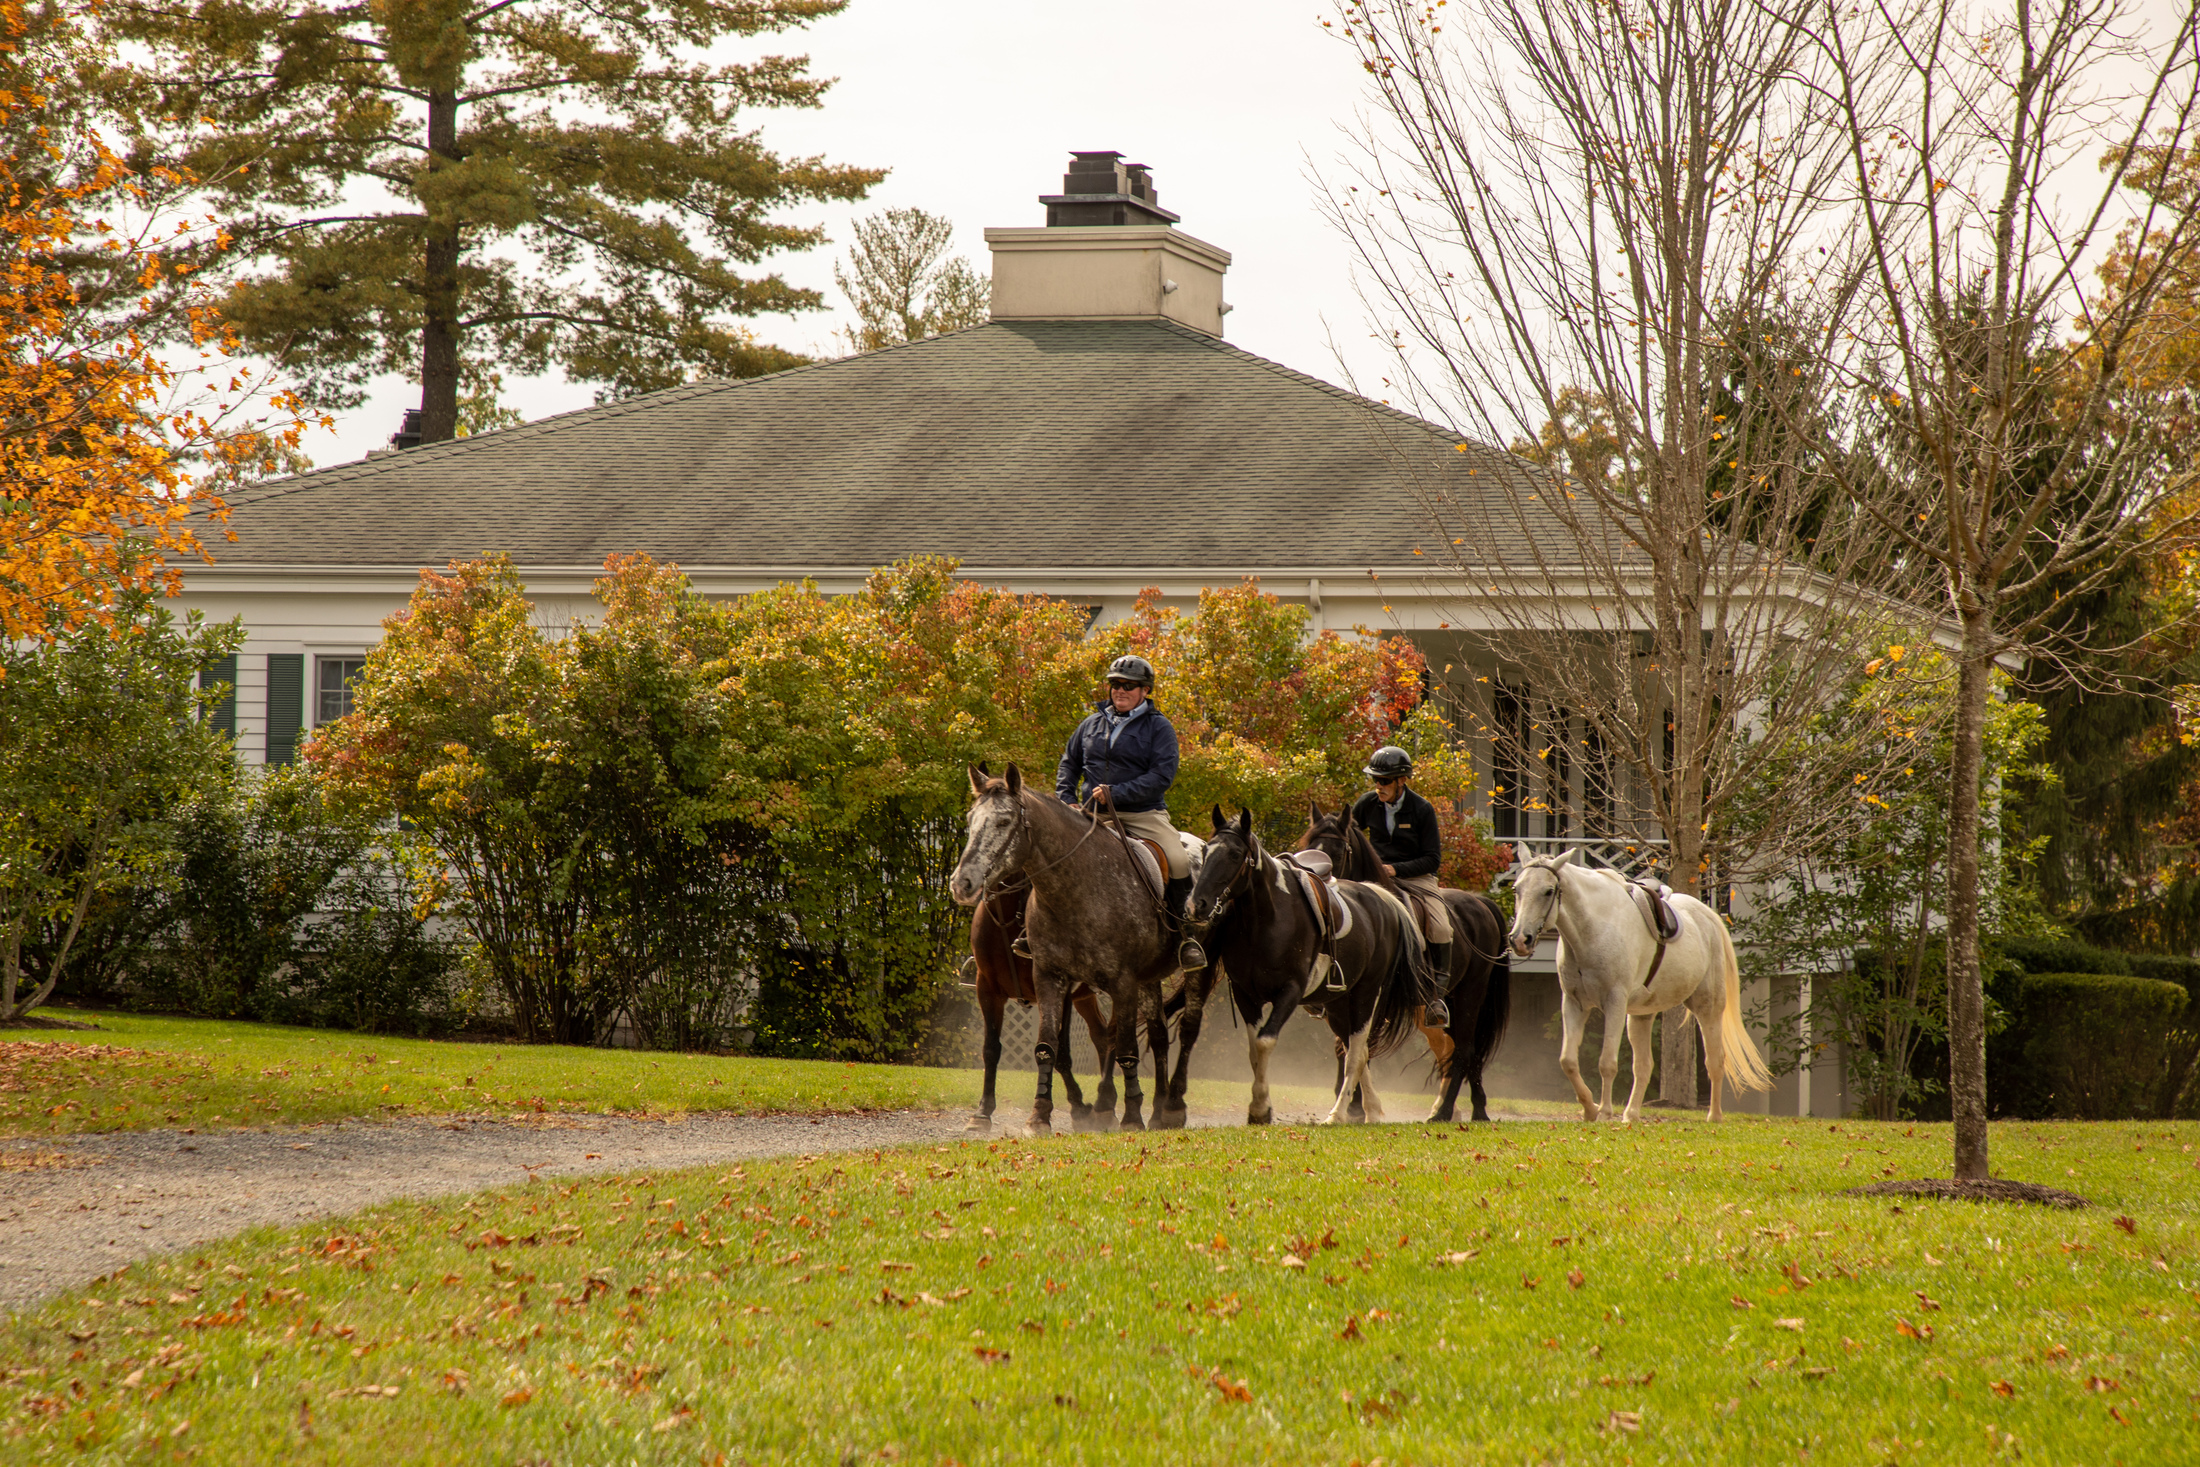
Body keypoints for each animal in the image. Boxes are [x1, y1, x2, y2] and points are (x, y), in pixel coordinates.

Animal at [1302, 804, 1513, 1126]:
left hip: (1470, 994)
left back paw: (1444, 1112)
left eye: (1337, 853)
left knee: (1465, 1050)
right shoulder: (1340, 1003)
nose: (1320, 895)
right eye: (1309, 847)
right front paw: (1351, 1105)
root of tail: (1480, 903)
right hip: (1443, 1006)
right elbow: (1346, 1047)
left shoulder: (1372, 1003)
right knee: (1457, 1051)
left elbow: (1359, 1048)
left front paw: (1355, 1106)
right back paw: (1476, 1109)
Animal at [1504, 848, 1777, 1126]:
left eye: (1548, 891)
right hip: (1641, 1016)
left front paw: (1604, 1112)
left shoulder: (1614, 1003)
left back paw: (1714, 1116)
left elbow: (1607, 1063)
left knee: (1715, 1061)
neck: (1593, 929)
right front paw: (1589, 1108)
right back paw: (1631, 1114)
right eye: (1517, 889)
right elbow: (1568, 1061)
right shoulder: (1574, 1003)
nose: (1520, 939)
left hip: (1708, 1008)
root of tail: (1710, 916)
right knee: (1644, 1066)